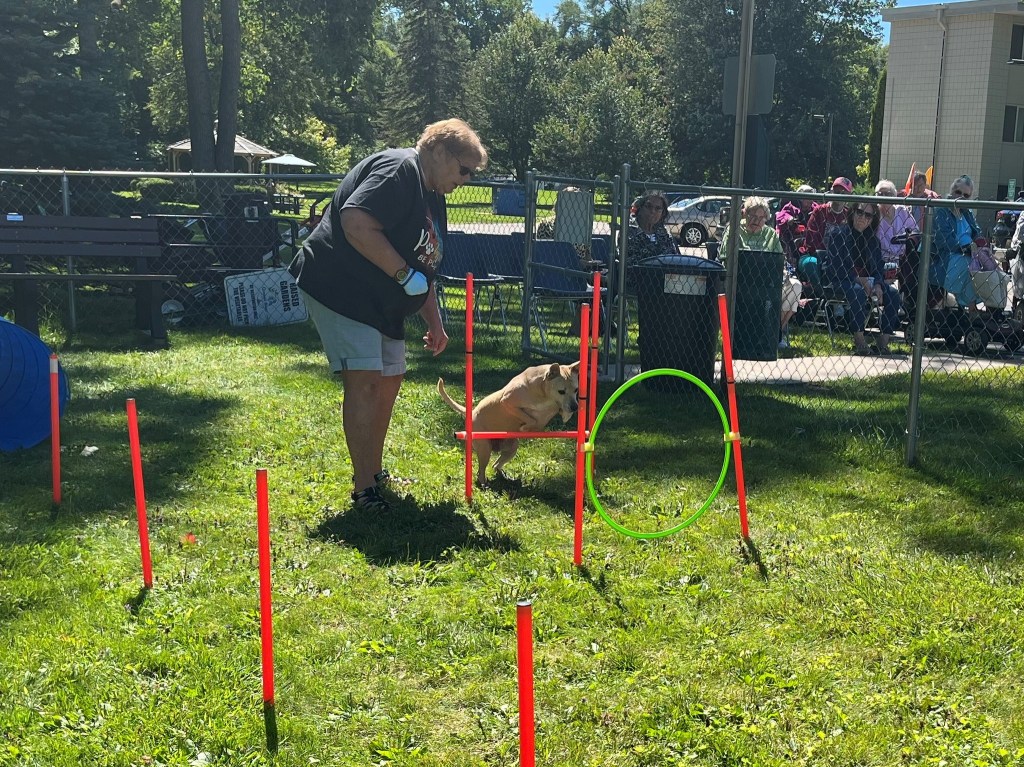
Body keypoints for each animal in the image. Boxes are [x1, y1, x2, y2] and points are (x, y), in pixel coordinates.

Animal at [438, 360, 581, 485]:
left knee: (496, 465)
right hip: (485, 449)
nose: (575, 407)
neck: (544, 392)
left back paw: (506, 477)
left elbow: (550, 415)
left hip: (511, 448)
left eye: (576, 390)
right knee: (481, 471)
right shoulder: (507, 402)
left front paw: (564, 415)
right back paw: (484, 484)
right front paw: (526, 427)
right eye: (561, 391)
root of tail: (472, 412)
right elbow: (531, 419)